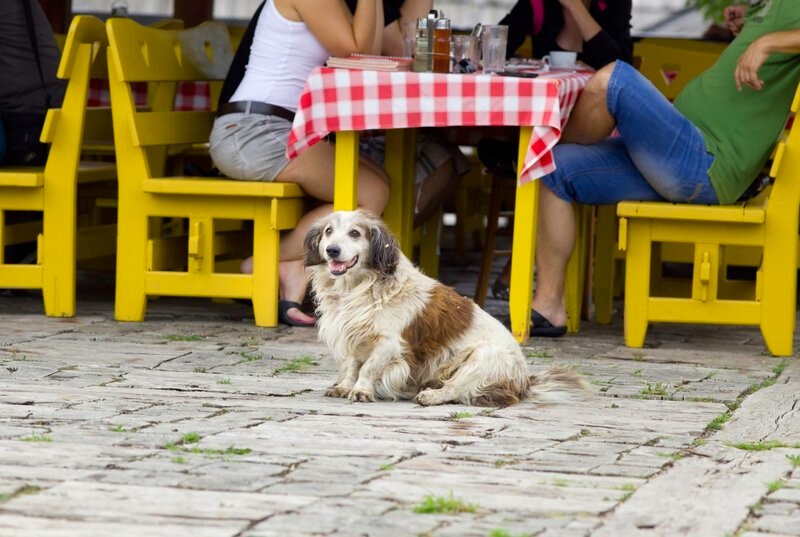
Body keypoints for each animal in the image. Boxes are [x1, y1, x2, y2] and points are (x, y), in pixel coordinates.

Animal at [304, 209, 592, 406]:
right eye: (328, 231)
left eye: (355, 233)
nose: (332, 250)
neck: (358, 289)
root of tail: (524, 380)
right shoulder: (354, 334)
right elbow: (352, 365)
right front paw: (345, 386)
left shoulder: (388, 344)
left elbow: (368, 368)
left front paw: (362, 390)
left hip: (479, 359)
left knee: (456, 390)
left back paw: (431, 395)